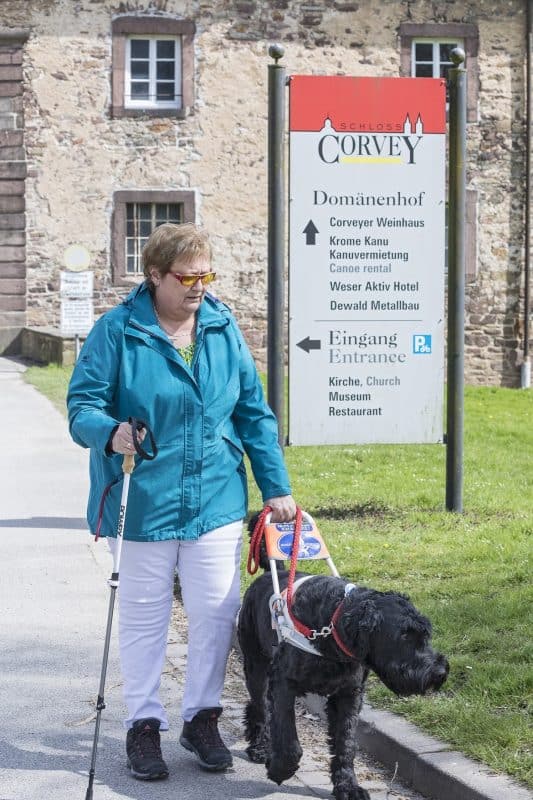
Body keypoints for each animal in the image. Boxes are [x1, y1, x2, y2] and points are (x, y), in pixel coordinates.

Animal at [237, 516, 448, 796]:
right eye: (403, 636)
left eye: (426, 633)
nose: (439, 672)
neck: (333, 625)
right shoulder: (282, 685)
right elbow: (289, 739)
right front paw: (280, 769)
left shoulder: (349, 694)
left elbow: (346, 744)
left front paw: (348, 785)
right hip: (256, 666)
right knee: (259, 706)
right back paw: (260, 747)